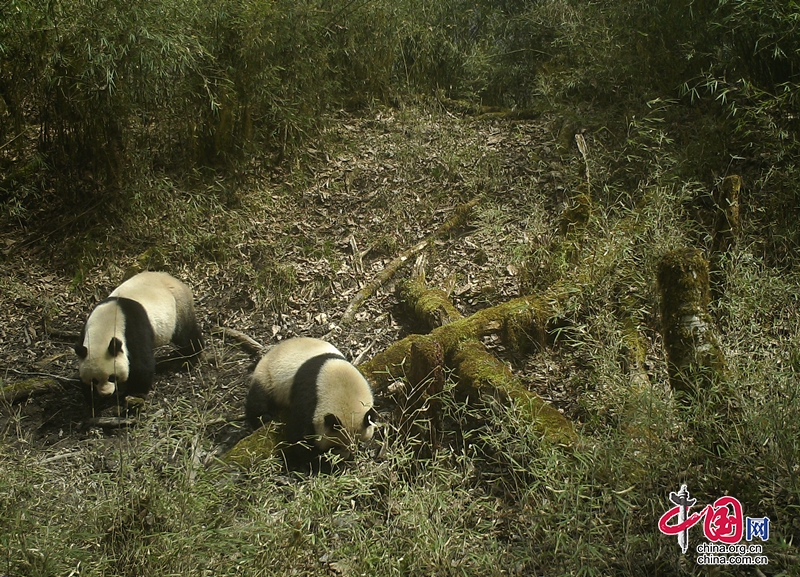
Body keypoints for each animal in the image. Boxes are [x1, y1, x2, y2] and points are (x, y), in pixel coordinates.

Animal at [74, 272, 203, 400]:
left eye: (112, 377)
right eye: (94, 380)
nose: (106, 393)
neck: (104, 327)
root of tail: (172, 278)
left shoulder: (133, 328)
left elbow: (141, 364)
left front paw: (134, 393)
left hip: (179, 307)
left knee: (186, 334)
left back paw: (186, 355)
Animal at [245, 338, 380, 468]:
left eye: (358, 442)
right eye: (335, 446)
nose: (346, 456)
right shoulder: (309, 396)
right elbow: (299, 435)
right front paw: (318, 460)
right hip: (268, 376)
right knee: (258, 399)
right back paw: (262, 418)